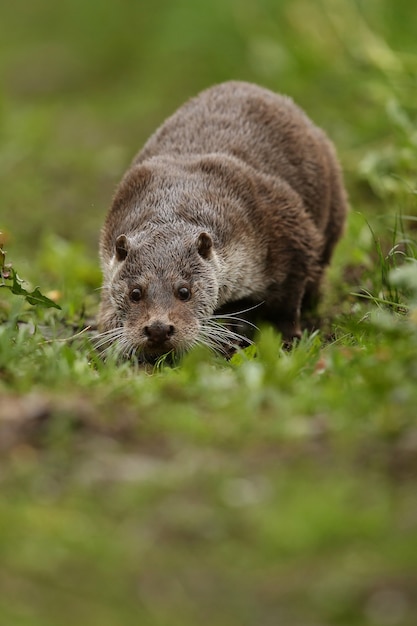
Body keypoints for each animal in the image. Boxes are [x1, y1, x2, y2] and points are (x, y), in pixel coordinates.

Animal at [96, 80, 344, 360]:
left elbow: (286, 304)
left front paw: (286, 338)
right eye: (135, 293)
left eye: (184, 291)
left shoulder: (290, 231)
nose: (158, 328)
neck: (178, 196)